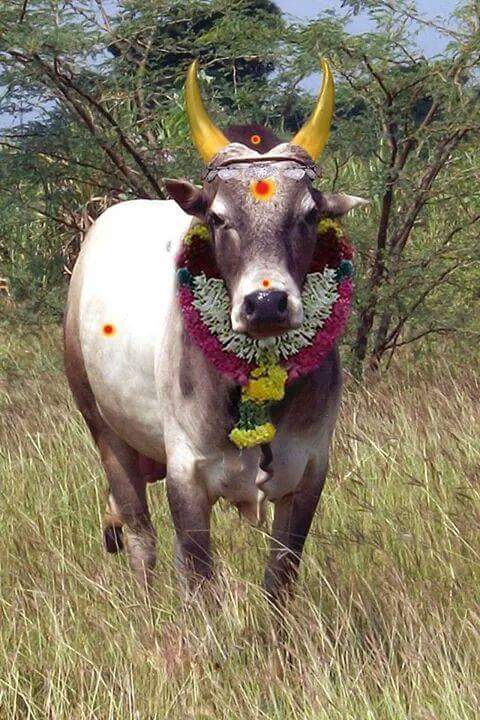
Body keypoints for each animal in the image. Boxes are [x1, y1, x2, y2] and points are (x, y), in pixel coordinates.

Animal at [64, 59, 366, 603]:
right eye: (219, 216)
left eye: (309, 214)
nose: (266, 304)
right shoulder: (187, 475)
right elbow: (199, 579)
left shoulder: (310, 471)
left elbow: (279, 581)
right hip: (104, 430)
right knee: (141, 537)